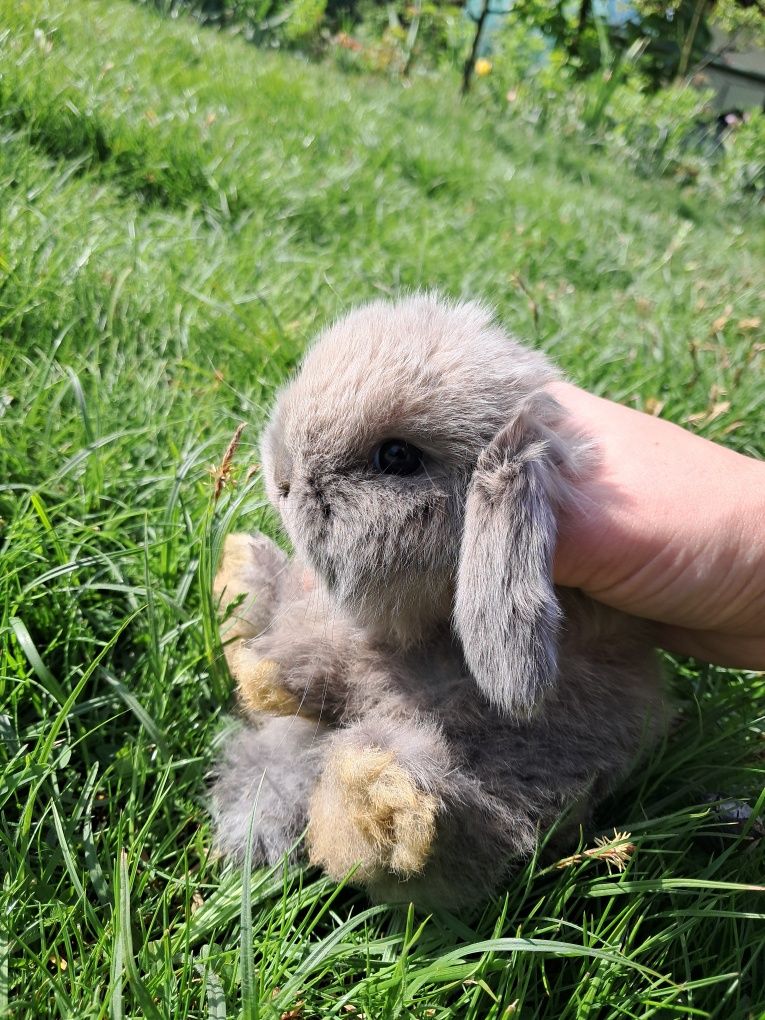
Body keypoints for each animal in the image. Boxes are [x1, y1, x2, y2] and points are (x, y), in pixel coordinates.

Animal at [210, 293, 665, 909]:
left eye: (397, 456)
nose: (281, 477)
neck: (426, 639)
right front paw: (262, 669)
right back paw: (242, 586)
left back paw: (381, 796)